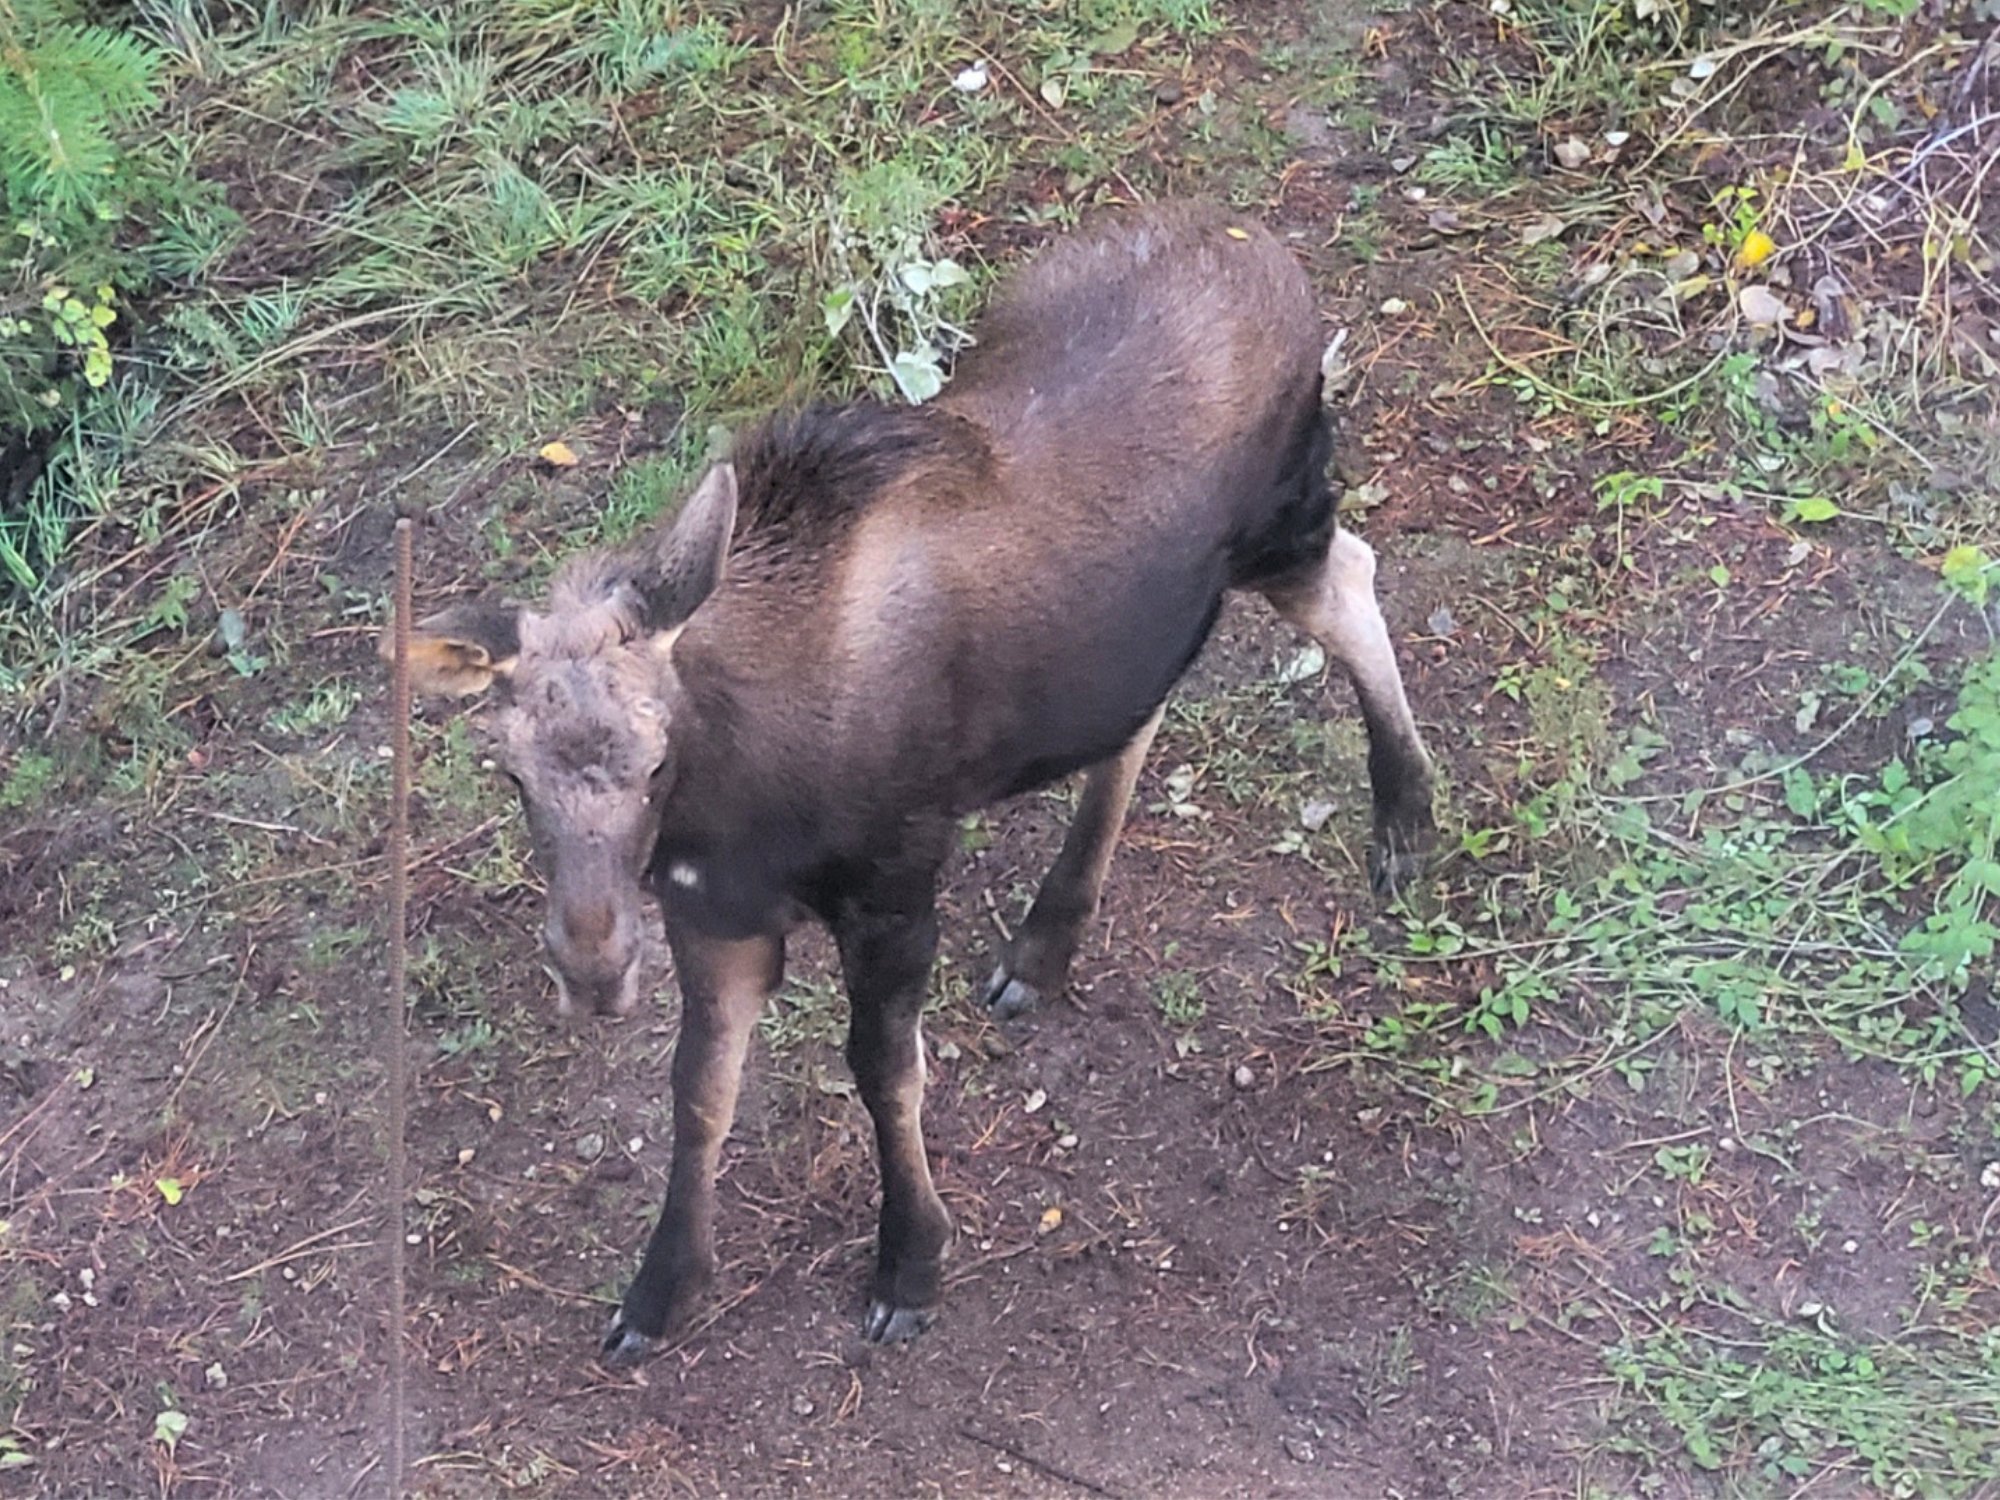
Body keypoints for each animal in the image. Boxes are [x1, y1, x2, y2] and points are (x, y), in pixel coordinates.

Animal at [394, 199, 1436, 1368]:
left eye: (658, 758)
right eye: (509, 773)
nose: (590, 965)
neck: (732, 802)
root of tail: (1264, 248)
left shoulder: (892, 887)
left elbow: (883, 1072)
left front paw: (909, 1263)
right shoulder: (714, 916)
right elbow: (697, 1092)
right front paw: (659, 1290)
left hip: (1284, 518)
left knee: (1350, 577)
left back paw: (1404, 817)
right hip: (1134, 623)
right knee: (1146, 707)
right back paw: (1045, 942)